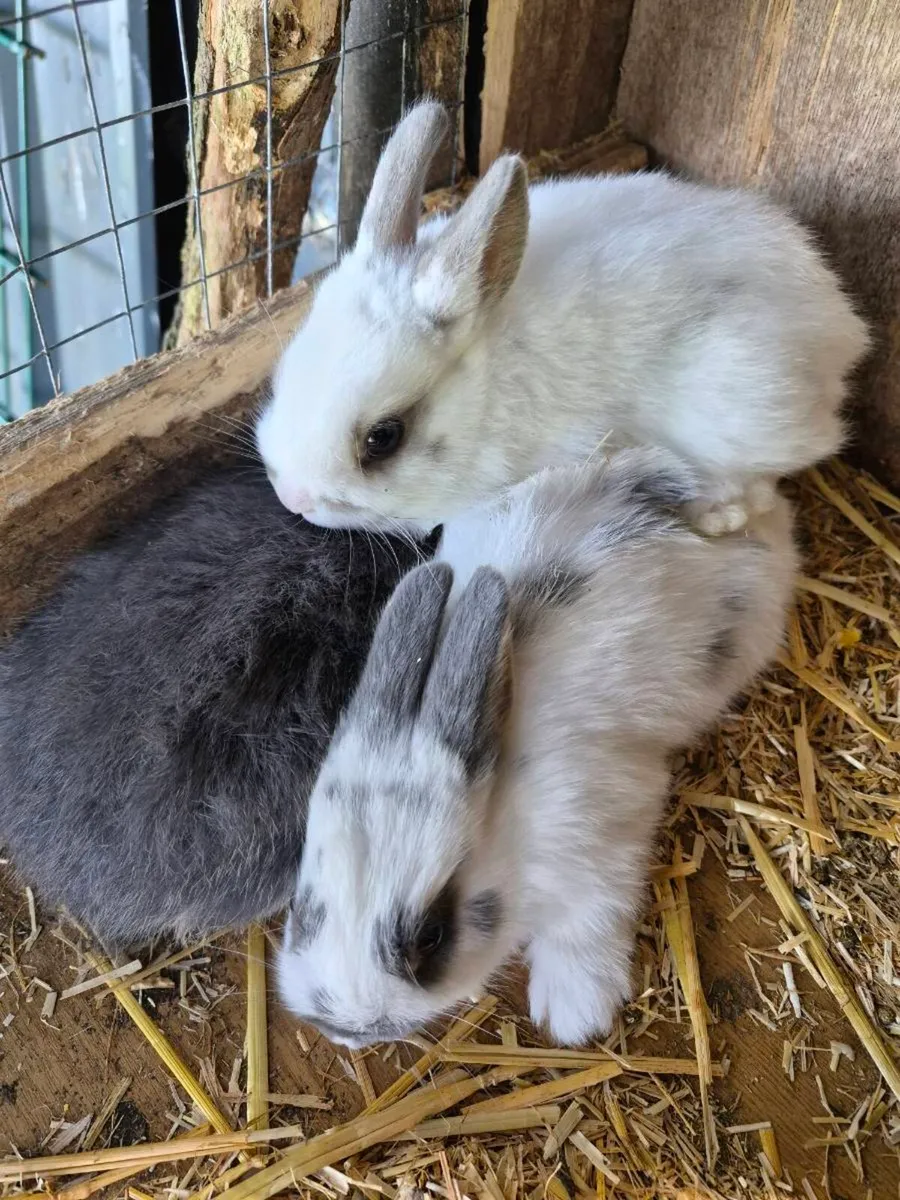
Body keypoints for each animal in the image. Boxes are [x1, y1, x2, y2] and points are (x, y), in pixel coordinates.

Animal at [256, 100, 868, 538]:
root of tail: (841, 325)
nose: (291, 497)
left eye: (383, 438)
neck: (488, 389)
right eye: (282, 374)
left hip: (736, 412)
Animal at [277, 446, 799, 1047]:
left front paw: (575, 1011)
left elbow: (589, 923)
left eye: (431, 935)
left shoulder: (604, 843)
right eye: (301, 909)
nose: (345, 1029)